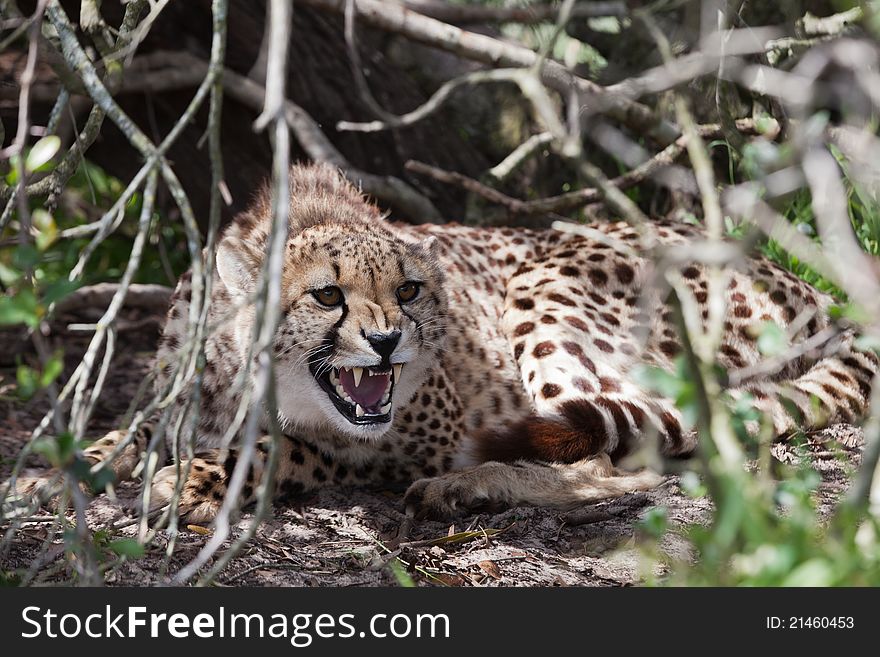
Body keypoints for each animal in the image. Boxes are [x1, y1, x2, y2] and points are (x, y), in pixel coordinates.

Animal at [3, 163, 876, 516]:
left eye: (410, 290)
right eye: (328, 294)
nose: (391, 342)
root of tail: (795, 280)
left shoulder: (420, 430)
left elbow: (297, 448)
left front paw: (195, 478)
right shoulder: (174, 397)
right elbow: (125, 431)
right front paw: (45, 475)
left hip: (549, 289)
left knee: (619, 457)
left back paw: (472, 486)